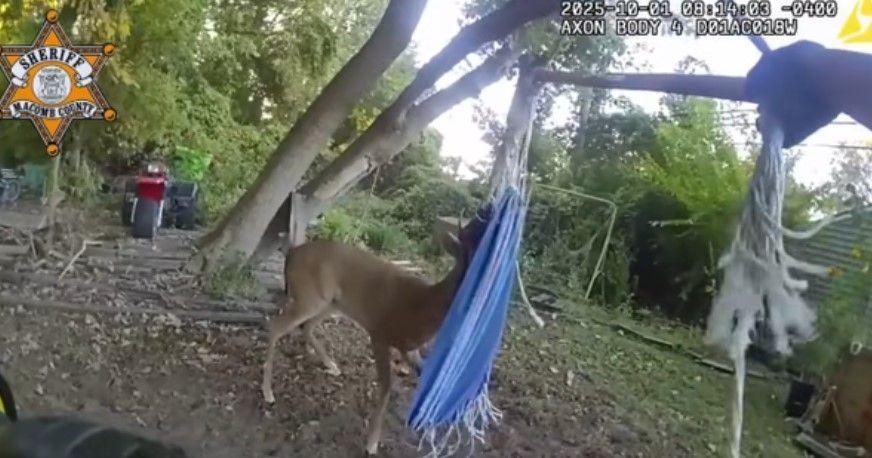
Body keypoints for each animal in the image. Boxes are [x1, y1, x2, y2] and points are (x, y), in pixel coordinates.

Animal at [261, 216, 485, 456]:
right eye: (467, 257)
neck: (420, 308)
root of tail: (291, 253)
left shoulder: (411, 349)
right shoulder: (379, 334)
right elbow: (386, 388)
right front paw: (372, 444)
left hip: (331, 303)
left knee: (307, 326)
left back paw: (331, 365)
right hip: (309, 296)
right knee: (275, 326)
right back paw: (268, 392)